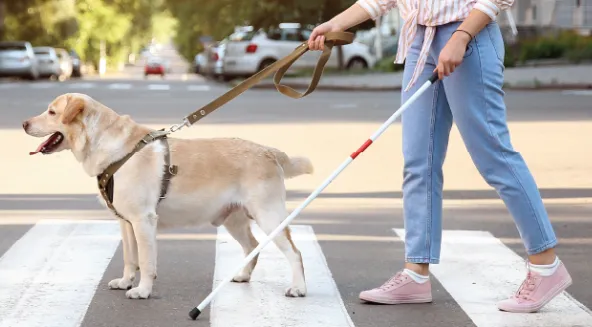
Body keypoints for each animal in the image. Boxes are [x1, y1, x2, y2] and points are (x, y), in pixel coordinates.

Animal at [22, 92, 314, 300]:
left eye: (52, 112)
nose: (24, 123)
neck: (110, 147)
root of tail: (269, 151)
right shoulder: (126, 222)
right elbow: (130, 258)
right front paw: (126, 282)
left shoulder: (143, 221)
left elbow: (145, 260)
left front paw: (142, 290)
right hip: (235, 220)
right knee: (252, 246)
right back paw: (242, 275)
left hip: (269, 217)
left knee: (296, 253)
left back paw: (298, 288)